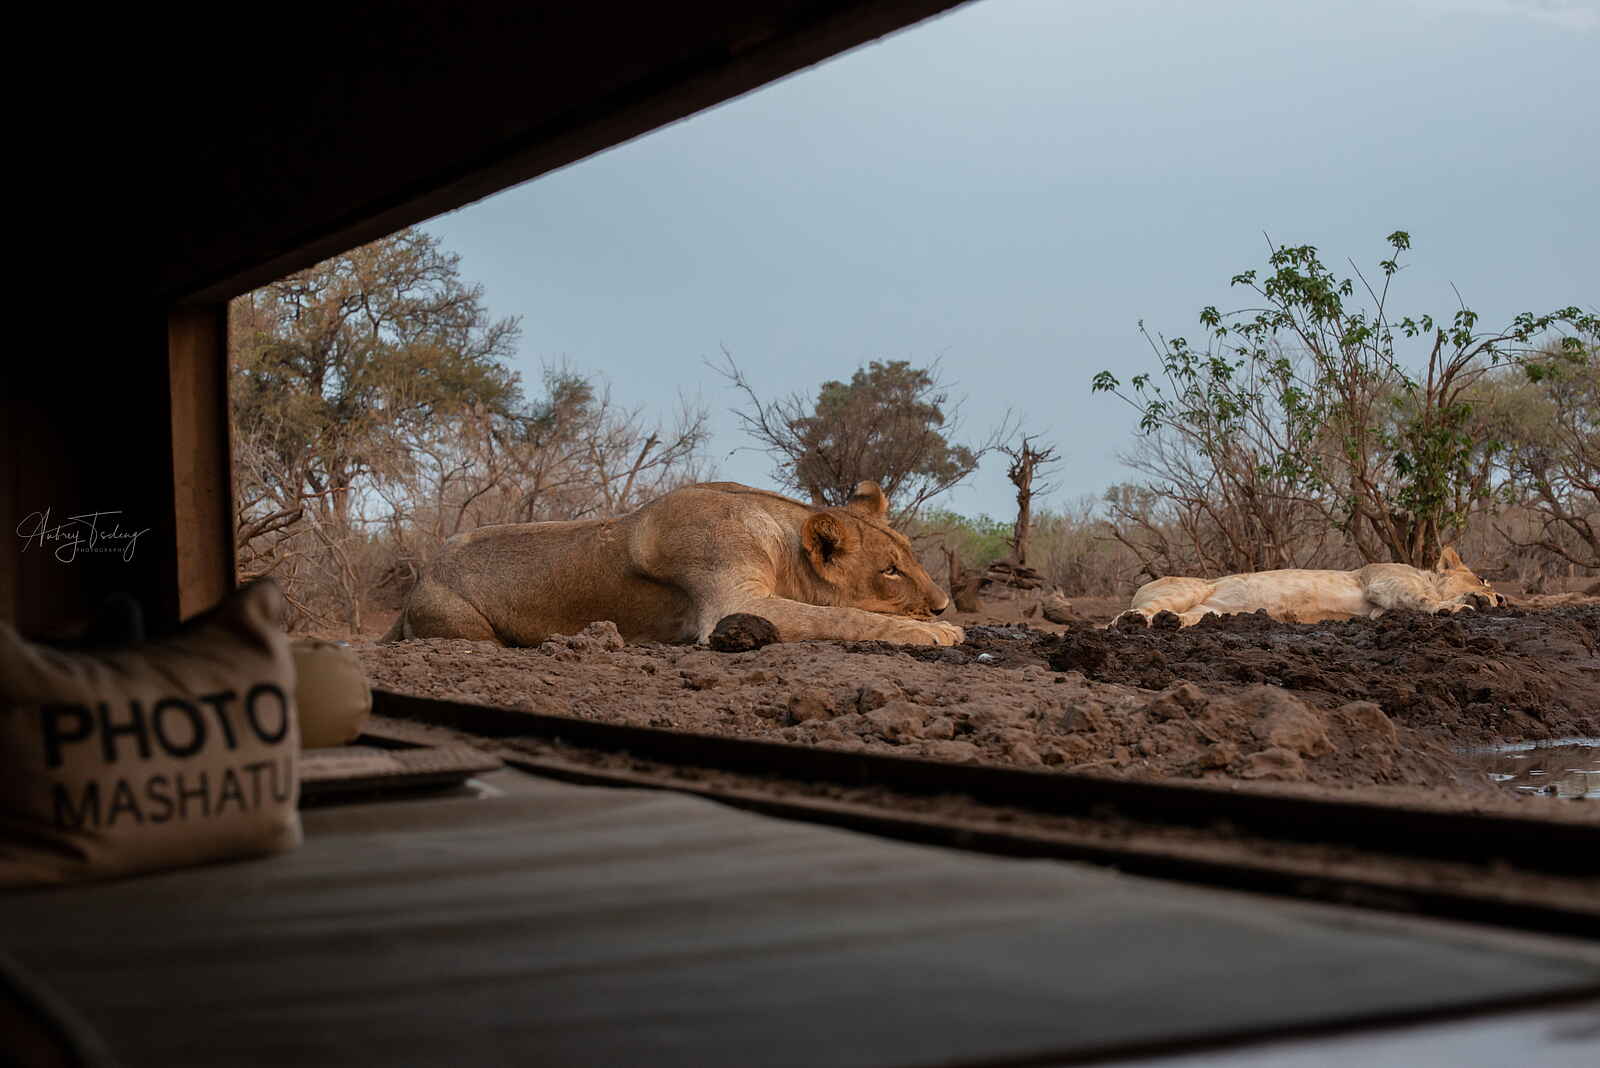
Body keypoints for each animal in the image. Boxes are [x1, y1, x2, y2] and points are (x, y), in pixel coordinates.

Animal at [381, 481, 963, 647]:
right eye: (890, 571)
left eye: (910, 557)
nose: (942, 605)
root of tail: (423, 572)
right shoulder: (729, 604)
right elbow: (841, 615)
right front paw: (936, 633)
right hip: (459, 624)